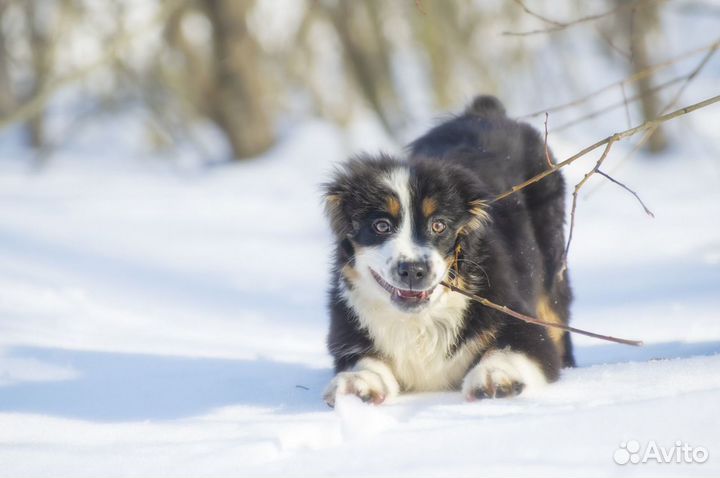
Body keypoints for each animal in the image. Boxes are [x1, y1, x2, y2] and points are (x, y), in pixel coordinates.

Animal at [320, 94, 572, 408]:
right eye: (381, 226)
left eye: (438, 225)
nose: (413, 270)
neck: (421, 320)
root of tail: (485, 111)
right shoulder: (349, 327)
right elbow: (363, 360)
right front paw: (357, 383)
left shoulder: (516, 317)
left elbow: (511, 349)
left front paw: (494, 378)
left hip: (552, 260)